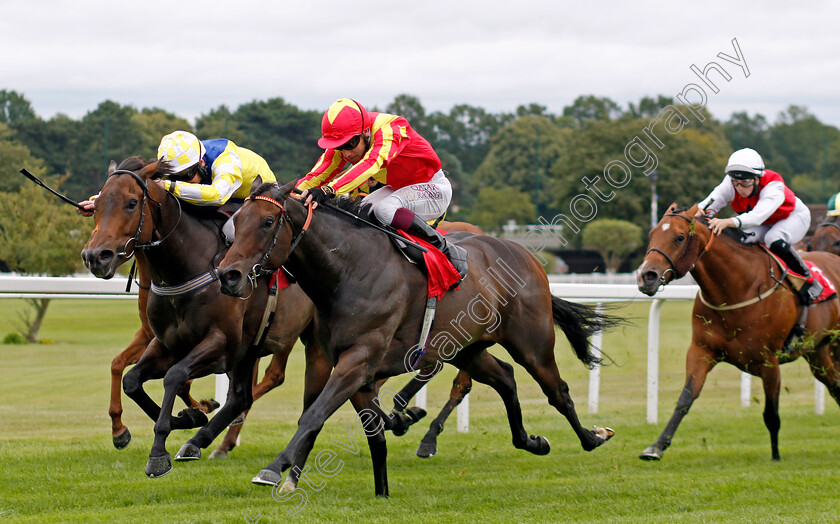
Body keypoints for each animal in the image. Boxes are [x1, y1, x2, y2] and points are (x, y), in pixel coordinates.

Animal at [213, 182, 612, 498]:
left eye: (267, 222)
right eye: (236, 222)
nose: (228, 275)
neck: (350, 270)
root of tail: (526, 254)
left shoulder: (359, 359)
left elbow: (313, 415)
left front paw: (274, 468)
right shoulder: (345, 365)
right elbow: (360, 430)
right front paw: (376, 488)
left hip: (533, 344)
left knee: (558, 391)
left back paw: (593, 437)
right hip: (466, 348)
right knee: (504, 377)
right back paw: (531, 441)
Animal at [636, 203, 840, 460]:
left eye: (679, 237)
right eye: (652, 233)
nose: (646, 276)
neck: (737, 287)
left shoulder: (769, 361)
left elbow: (771, 414)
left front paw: (775, 456)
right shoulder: (701, 351)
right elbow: (685, 398)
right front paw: (656, 447)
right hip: (817, 352)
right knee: (835, 384)